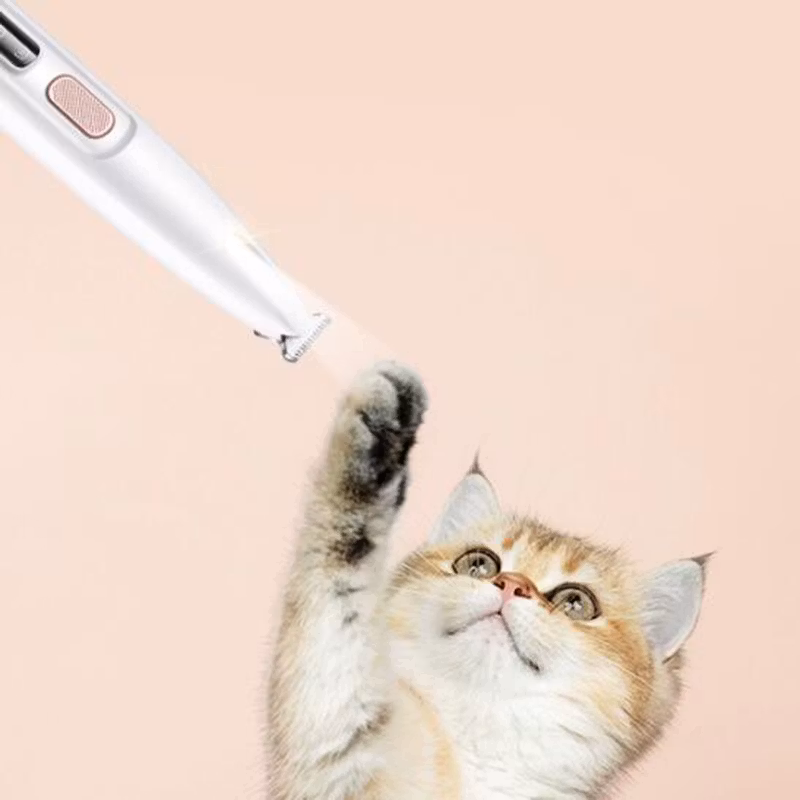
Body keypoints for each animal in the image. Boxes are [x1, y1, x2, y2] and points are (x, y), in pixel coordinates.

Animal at [267, 362, 709, 800]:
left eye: (575, 603)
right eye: (479, 564)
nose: (512, 584)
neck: (477, 750)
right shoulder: (340, 747)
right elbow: (338, 582)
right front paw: (374, 435)